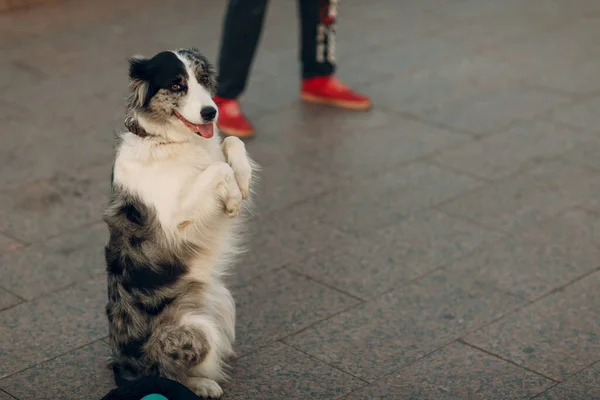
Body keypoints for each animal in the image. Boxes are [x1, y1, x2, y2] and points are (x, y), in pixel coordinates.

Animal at [103, 48, 255, 398]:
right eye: (176, 85)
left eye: (203, 79)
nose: (211, 112)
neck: (170, 141)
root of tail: (126, 373)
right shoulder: (173, 220)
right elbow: (217, 170)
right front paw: (232, 198)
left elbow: (232, 143)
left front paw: (241, 183)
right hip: (195, 329)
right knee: (168, 373)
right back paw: (203, 385)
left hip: (222, 301)